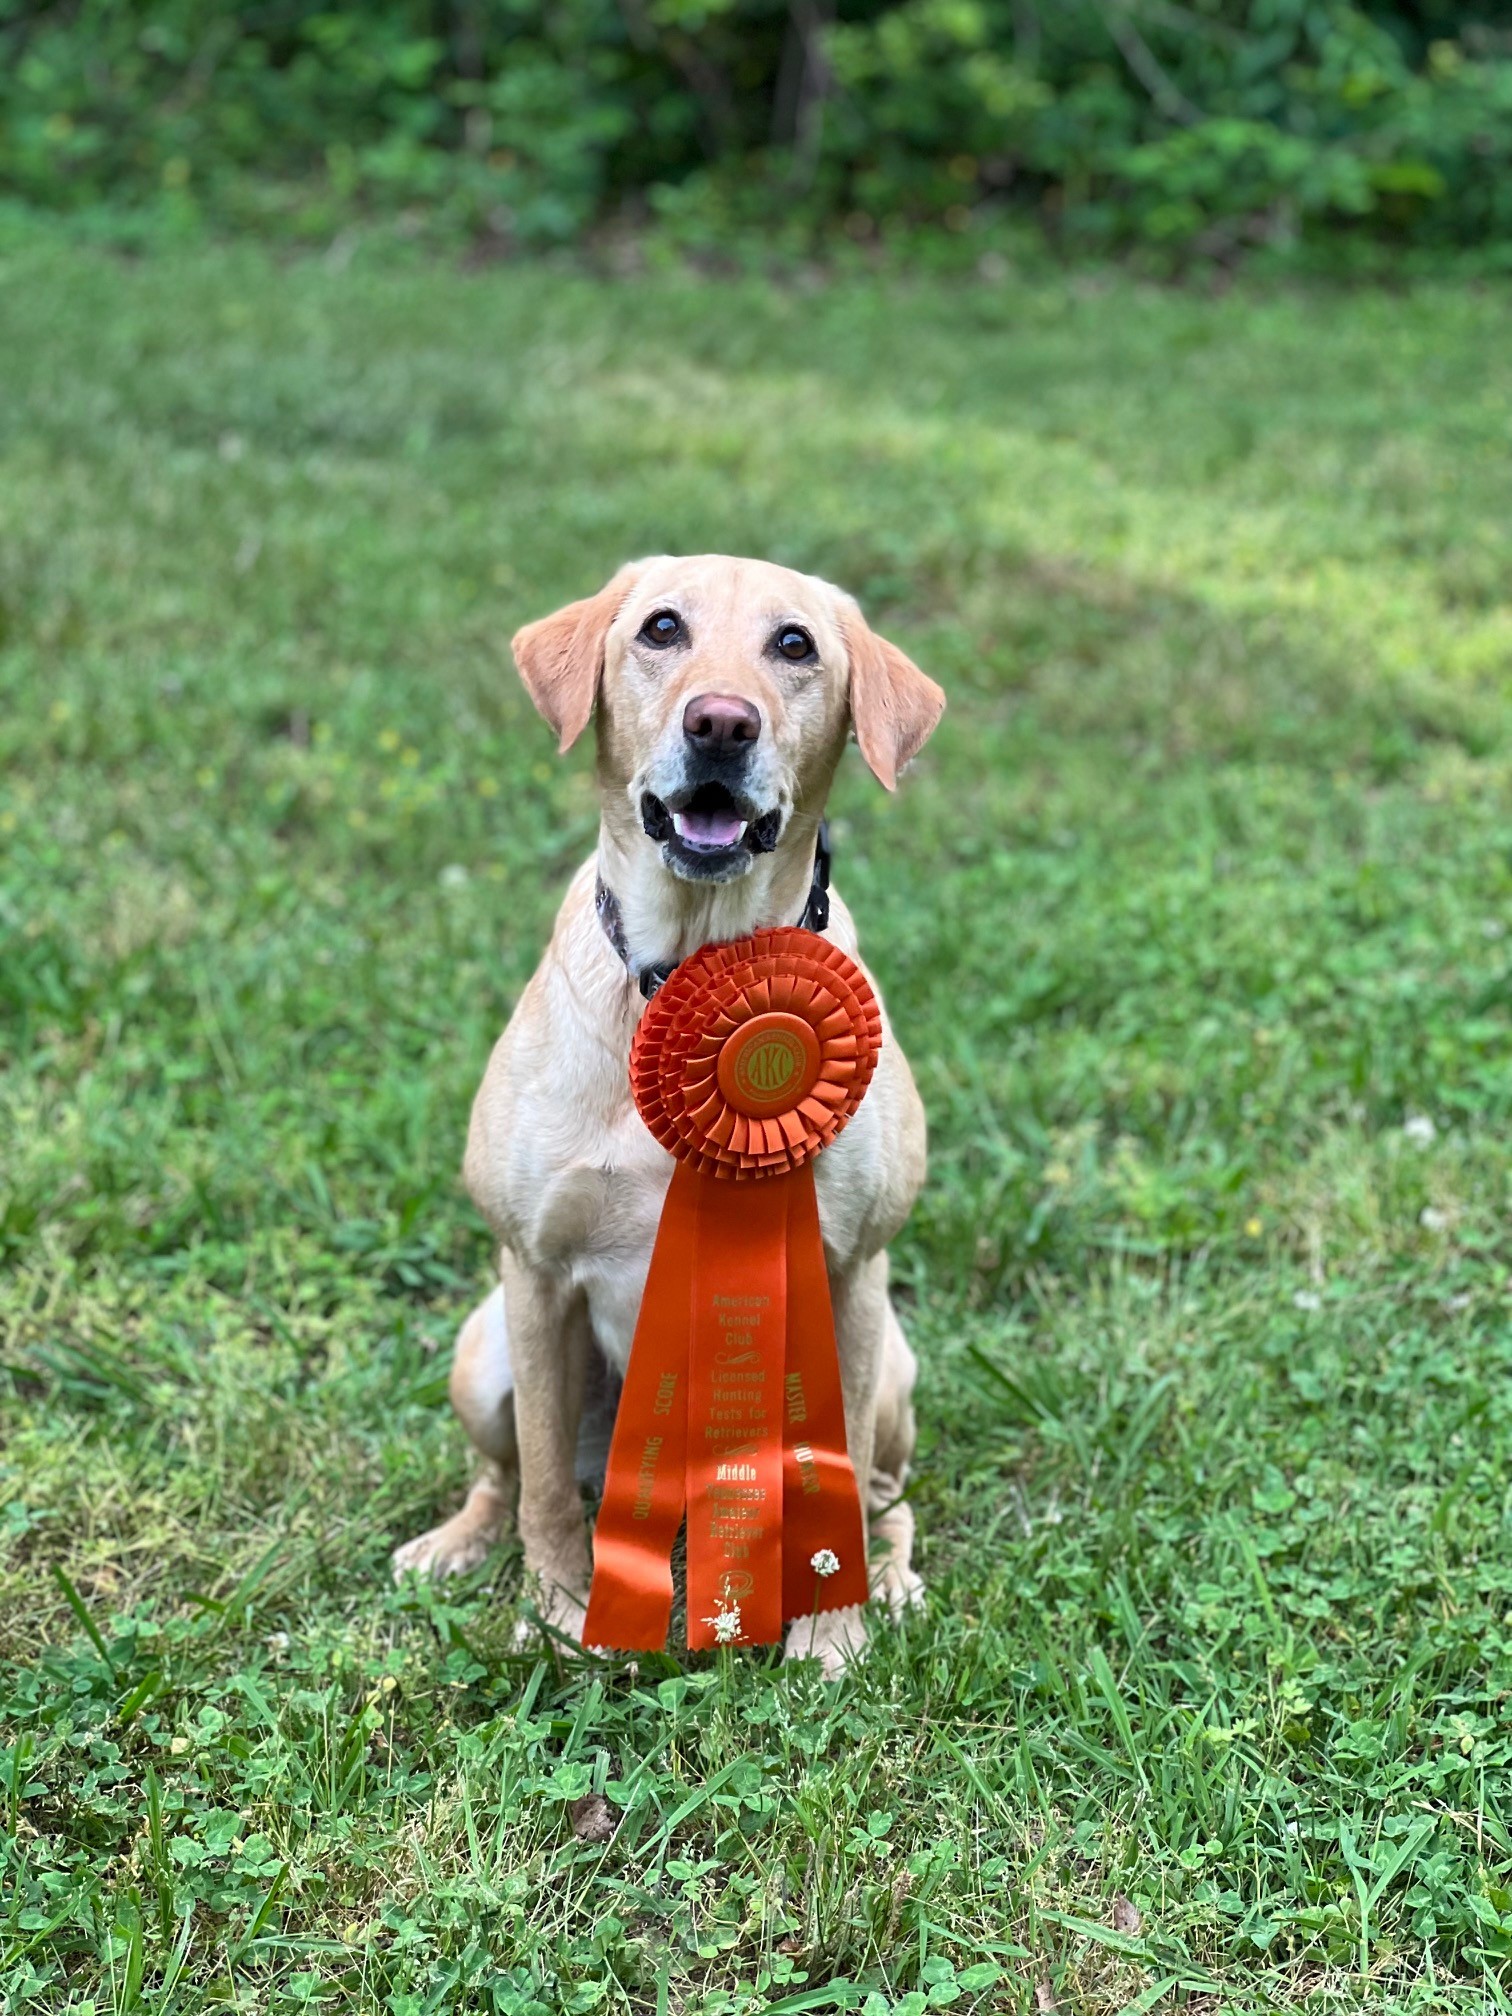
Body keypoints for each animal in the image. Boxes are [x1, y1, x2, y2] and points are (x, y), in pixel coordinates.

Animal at [399, 560, 947, 1677]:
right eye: (661, 629)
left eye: (795, 645)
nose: (722, 724)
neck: (695, 972)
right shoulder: (534, 1275)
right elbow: (547, 1497)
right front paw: (560, 1619)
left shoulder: (850, 1276)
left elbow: (839, 1484)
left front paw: (830, 1632)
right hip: (484, 1353)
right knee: (506, 1478)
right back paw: (455, 1544)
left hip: (895, 1366)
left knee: (885, 1496)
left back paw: (892, 1580)